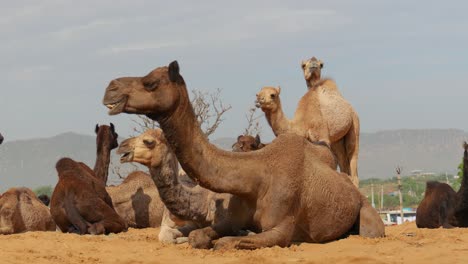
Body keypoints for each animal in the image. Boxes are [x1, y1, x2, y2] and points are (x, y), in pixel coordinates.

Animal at [300, 56, 362, 187]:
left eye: (321, 65)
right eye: (303, 65)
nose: (313, 65)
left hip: (354, 127)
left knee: (353, 164)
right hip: (337, 141)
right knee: (344, 165)